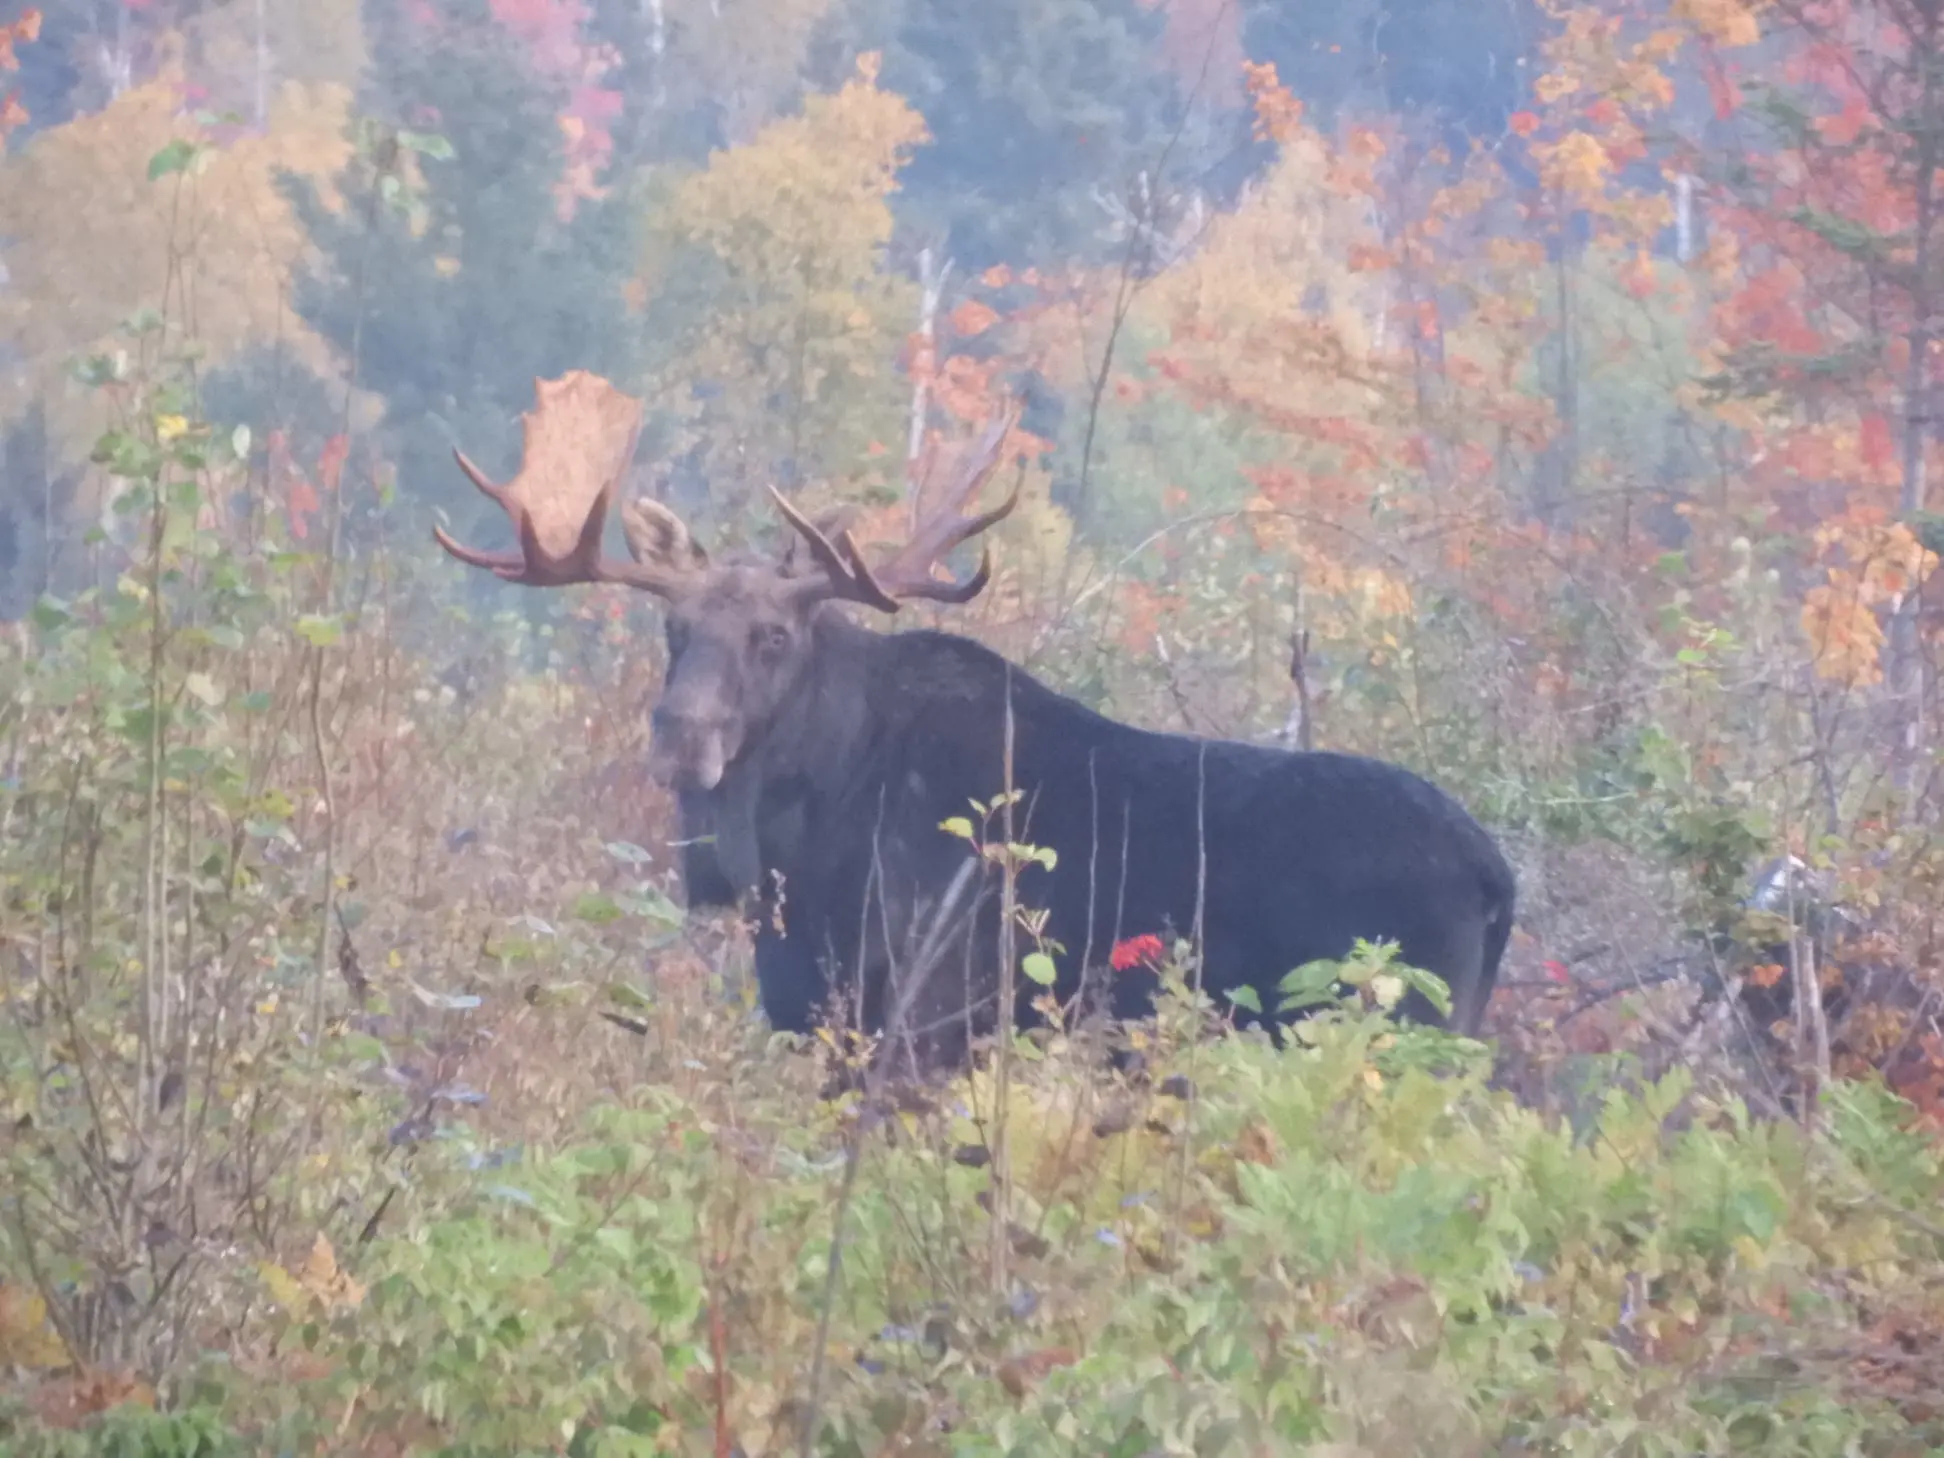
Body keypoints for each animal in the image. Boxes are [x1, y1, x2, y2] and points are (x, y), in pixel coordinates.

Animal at [437, 365, 1516, 1073]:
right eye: (673, 626)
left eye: (774, 637)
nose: (681, 736)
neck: (794, 857)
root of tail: (1497, 877)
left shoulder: (929, 1013)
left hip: (1388, 1020)